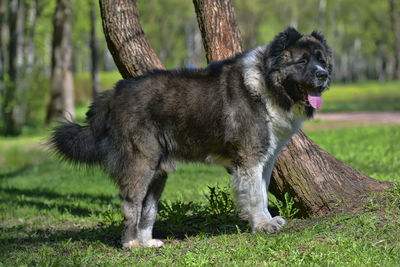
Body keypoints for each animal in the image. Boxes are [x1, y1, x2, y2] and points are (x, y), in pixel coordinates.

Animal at [51, 27, 332, 249]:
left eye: (321, 60)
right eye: (302, 61)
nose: (323, 75)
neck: (266, 83)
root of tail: (115, 92)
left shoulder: (264, 160)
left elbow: (261, 191)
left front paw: (266, 221)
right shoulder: (250, 158)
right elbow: (256, 195)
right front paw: (263, 225)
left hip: (158, 172)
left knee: (148, 210)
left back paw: (147, 243)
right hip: (141, 164)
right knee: (132, 206)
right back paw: (130, 244)